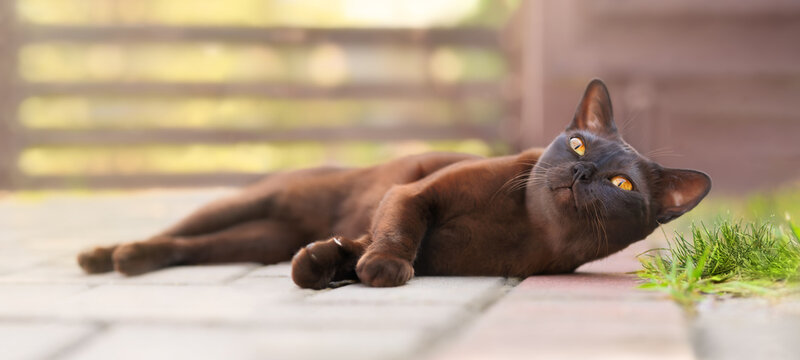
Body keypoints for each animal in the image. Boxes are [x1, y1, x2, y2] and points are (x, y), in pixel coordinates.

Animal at [78, 79, 708, 290]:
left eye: (621, 183)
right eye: (577, 145)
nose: (581, 172)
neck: (522, 224)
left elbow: (353, 249)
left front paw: (329, 265)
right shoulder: (413, 196)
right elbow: (399, 231)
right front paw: (381, 268)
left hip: (254, 239)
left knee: (190, 248)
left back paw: (131, 261)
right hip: (250, 202)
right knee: (172, 230)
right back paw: (107, 254)